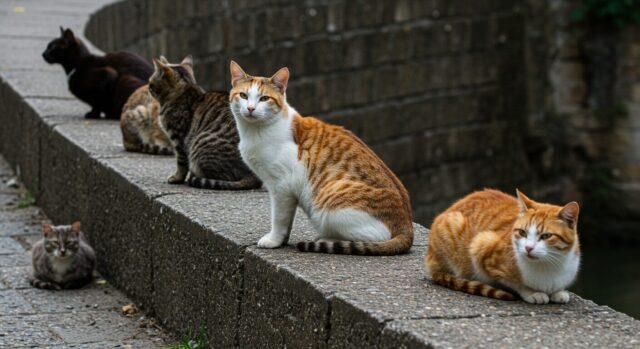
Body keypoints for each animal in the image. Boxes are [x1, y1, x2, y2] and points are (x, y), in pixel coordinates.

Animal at [149, 55, 262, 189]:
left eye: (150, 83)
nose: (148, 87)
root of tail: (254, 176)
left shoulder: (179, 139)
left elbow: (181, 163)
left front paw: (177, 178)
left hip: (199, 145)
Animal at [230, 61, 416, 254]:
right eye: (243, 95)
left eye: (264, 98)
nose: (250, 108)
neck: (255, 131)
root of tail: (407, 228)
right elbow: (287, 221)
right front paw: (283, 239)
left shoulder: (282, 187)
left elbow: (279, 218)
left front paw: (274, 240)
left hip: (330, 207)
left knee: (373, 238)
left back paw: (328, 239)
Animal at [424, 189, 580, 304]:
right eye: (522, 232)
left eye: (546, 236)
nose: (528, 248)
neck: (548, 266)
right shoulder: (481, 247)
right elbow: (516, 283)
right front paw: (532, 293)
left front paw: (558, 292)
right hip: (453, 226)